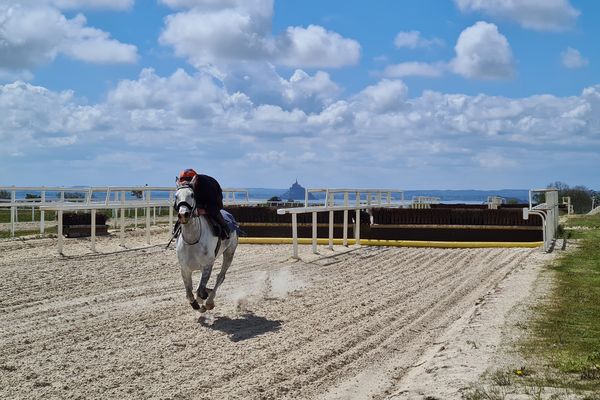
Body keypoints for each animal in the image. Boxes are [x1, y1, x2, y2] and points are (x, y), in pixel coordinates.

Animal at [172, 179, 238, 312]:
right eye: (176, 196)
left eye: (192, 195)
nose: (183, 214)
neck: (192, 239)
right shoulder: (185, 269)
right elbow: (189, 292)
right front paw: (196, 303)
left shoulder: (208, 265)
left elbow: (200, 291)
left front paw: (203, 301)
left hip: (229, 253)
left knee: (220, 277)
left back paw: (209, 302)